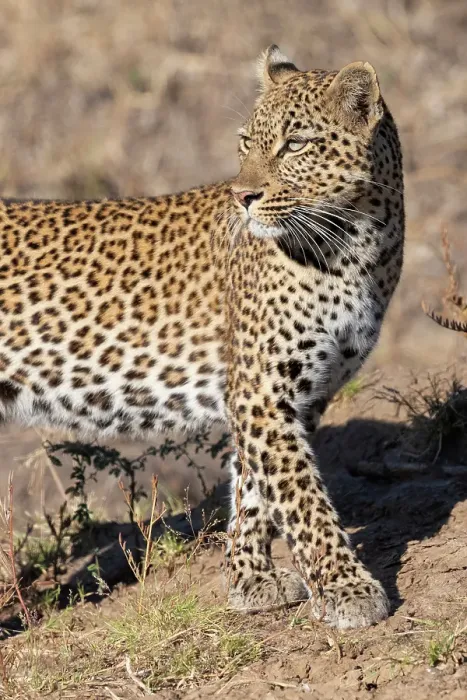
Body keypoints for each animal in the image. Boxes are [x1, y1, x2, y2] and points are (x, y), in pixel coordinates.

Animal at [0, 46, 404, 629]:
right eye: (246, 141)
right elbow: (302, 496)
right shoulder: (262, 391)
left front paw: (248, 579)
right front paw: (347, 588)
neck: (358, 245)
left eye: (296, 144)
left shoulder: (295, 393)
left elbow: (256, 489)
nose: (243, 196)